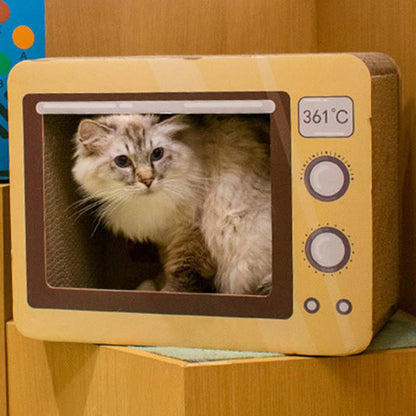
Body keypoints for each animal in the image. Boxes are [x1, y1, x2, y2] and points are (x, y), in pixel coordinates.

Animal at [71, 114, 272, 296]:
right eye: (122, 161)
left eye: (157, 154)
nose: (147, 180)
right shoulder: (165, 237)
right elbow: (167, 267)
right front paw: (152, 284)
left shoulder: (191, 232)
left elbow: (183, 275)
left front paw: (165, 292)